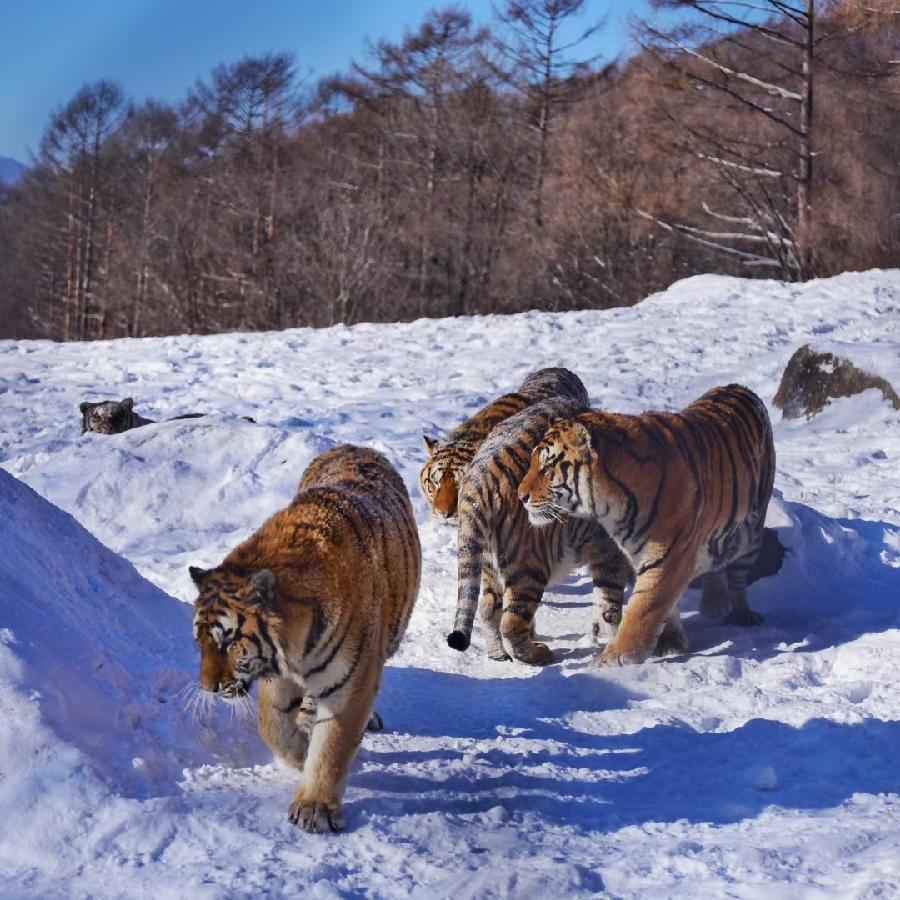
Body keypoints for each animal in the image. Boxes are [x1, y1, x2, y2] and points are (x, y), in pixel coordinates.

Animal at [189, 444, 421, 833]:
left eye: (227, 642)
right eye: (199, 643)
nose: (208, 688)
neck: (295, 649)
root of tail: (355, 446)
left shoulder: (350, 681)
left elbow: (332, 747)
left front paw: (315, 808)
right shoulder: (278, 675)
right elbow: (271, 725)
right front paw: (299, 754)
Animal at [445, 396, 632, 665]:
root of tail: (480, 474)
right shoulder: (611, 553)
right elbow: (611, 606)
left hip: (490, 561)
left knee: (487, 608)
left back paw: (499, 654)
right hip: (528, 566)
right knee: (510, 623)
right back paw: (539, 654)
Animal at [518, 384, 775, 667]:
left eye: (547, 467)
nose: (520, 496)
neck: (611, 506)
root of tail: (739, 387)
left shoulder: (668, 557)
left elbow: (642, 610)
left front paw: (612, 660)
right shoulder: (642, 554)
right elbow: (665, 607)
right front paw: (671, 642)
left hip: (749, 535)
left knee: (738, 577)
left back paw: (741, 613)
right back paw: (714, 604)